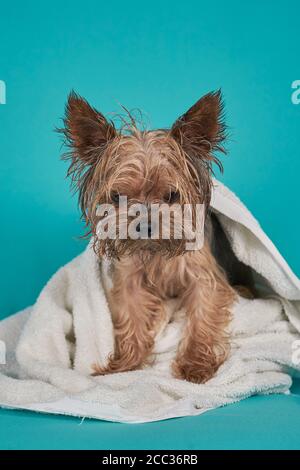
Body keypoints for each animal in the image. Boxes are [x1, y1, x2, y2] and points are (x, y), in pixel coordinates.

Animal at [59, 90, 246, 384]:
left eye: (171, 195)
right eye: (117, 197)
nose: (144, 224)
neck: (156, 251)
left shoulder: (204, 278)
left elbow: (202, 316)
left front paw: (196, 366)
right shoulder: (128, 280)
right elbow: (131, 318)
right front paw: (125, 365)